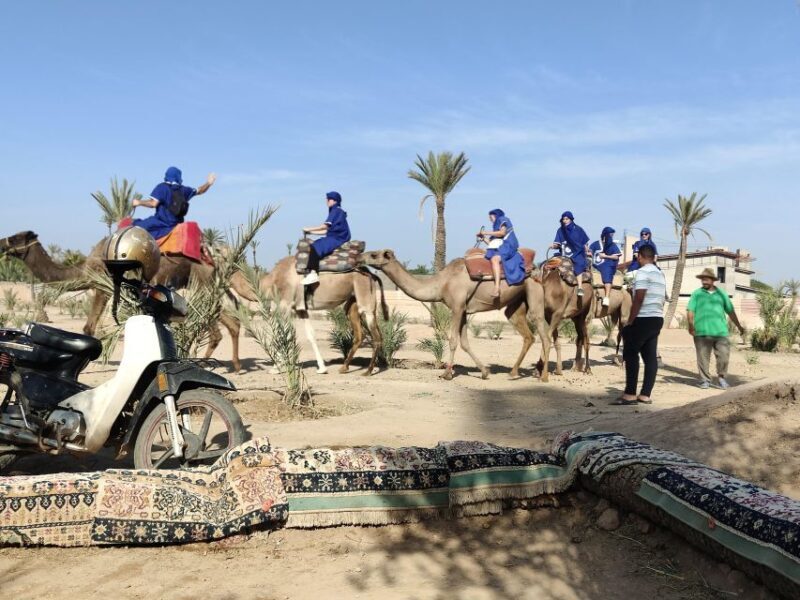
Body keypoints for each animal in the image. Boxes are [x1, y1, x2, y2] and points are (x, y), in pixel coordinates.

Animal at [0, 231, 241, 372]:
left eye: (15, 237)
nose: (2, 243)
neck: (83, 269)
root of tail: (212, 256)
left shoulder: (102, 286)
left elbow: (88, 327)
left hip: (201, 281)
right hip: (204, 285)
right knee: (226, 320)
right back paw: (233, 365)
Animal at [229, 256, 388, 376]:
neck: (271, 280)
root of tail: (371, 274)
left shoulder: (285, 304)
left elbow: (281, 334)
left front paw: (276, 368)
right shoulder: (300, 309)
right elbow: (309, 334)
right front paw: (322, 368)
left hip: (365, 299)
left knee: (376, 336)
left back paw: (368, 371)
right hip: (353, 304)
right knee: (362, 334)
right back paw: (345, 367)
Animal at [358, 249, 549, 381]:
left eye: (374, 255)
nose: (360, 256)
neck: (442, 283)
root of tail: (537, 268)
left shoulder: (456, 307)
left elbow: (452, 341)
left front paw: (447, 373)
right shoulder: (464, 310)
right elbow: (464, 343)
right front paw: (484, 372)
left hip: (534, 292)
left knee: (544, 335)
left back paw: (543, 376)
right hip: (516, 303)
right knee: (528, 335)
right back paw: (513, 372)